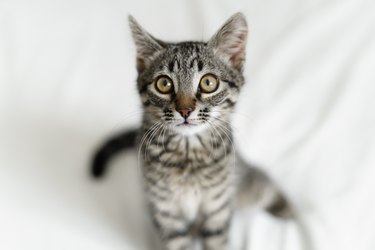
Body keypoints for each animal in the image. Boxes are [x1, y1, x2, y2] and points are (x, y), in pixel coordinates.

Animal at [92, 12, 294, 250]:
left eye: (208, 82)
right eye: (163, 84)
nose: (185, 110)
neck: (188, 154)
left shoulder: (217, 208)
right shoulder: (165, 211)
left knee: (263, 183)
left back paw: (288, 210)